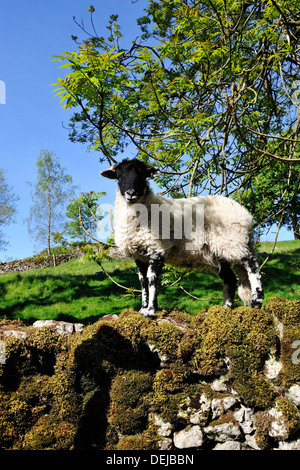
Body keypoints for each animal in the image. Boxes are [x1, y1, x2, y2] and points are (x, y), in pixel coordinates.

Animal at [102, 159, 264, 320]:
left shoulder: (157, 249)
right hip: (218, 252)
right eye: (119, 177)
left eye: (142, 176)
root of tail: (246, 215)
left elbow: (152, 279)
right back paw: (224, 309)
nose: (131, 193)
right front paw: (142, 309)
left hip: (234, 241)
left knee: (252, 265)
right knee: (230, 279)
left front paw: (151, 311)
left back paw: (256, 302)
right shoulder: (139, 255)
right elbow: (143, 281)